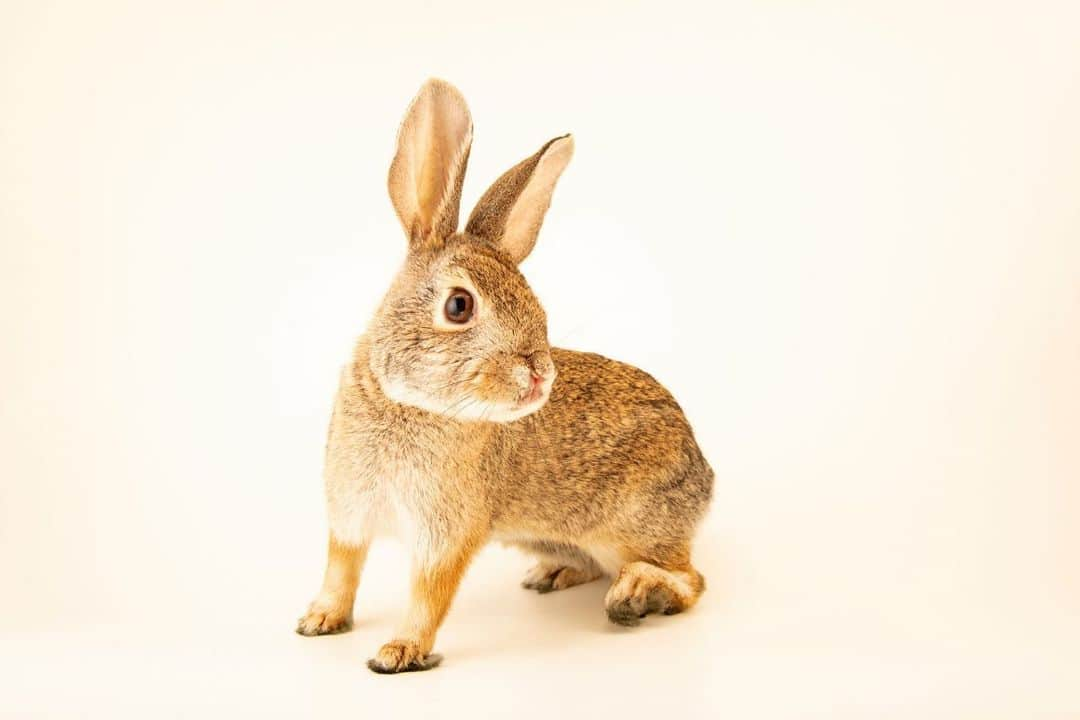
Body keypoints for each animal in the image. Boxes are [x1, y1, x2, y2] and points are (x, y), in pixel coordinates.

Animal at [295, 78, 717, 677]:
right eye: (458, 306)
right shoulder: (349, 510)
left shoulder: (444, 531)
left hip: (631, 528)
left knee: (689, 580)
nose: (539, 375)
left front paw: (399, 652)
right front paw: (320, 619)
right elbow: (342, 569)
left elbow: (429, 592)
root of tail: (704, 473)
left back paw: (636, 595)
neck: (410, 402)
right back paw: (555, 574)